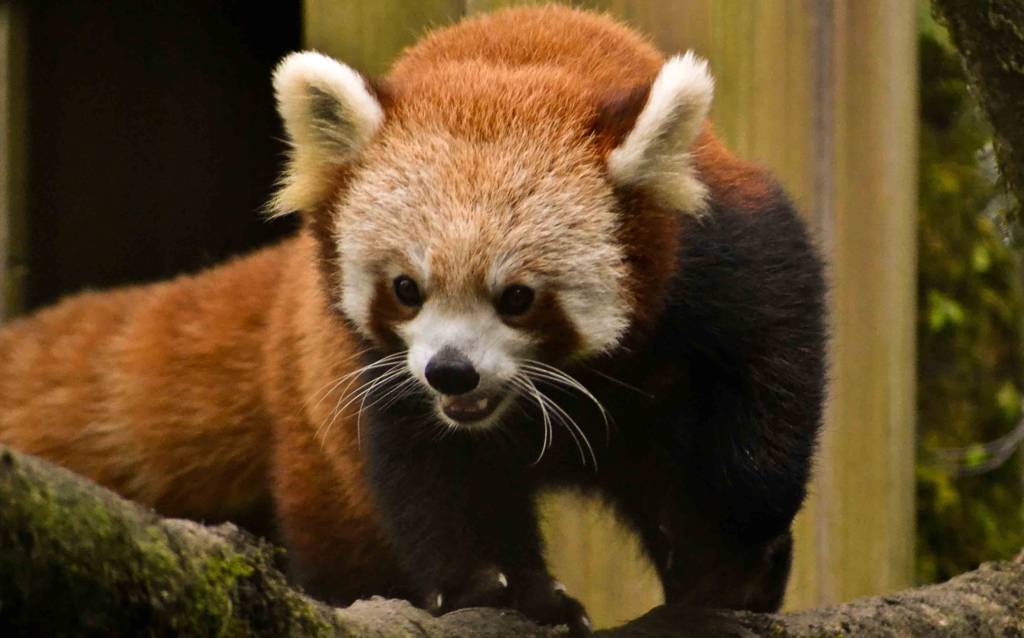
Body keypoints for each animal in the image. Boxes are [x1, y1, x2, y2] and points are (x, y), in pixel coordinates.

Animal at [0, 4, 823, 634]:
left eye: (517, 297)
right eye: (405, 288)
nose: (451, 371)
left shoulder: (733, 266)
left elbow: (763, 413)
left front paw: (728, 571)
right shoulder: (376, 369)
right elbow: (430, 473)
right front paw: (506, 589)